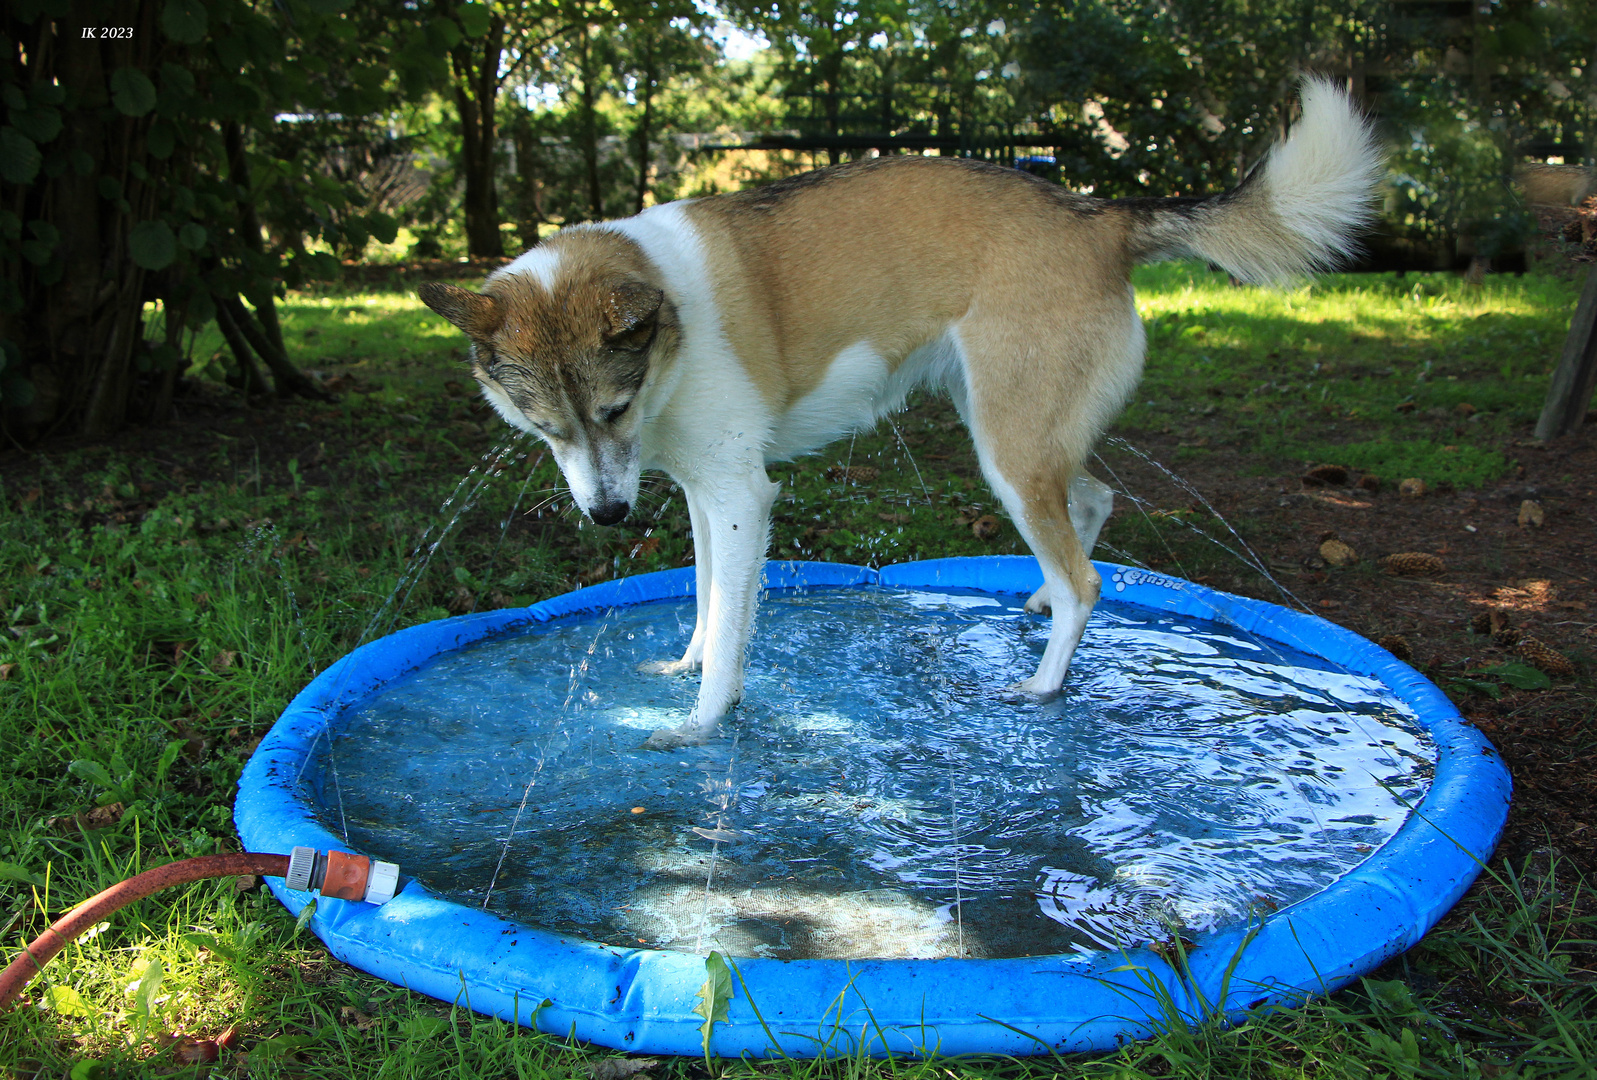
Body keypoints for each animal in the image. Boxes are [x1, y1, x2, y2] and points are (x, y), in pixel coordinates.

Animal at [418, 77, 1379, 750]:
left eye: (612, 408)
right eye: (544, 428)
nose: (608, 516)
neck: (670, 328)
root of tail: (1095, 213)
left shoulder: (740, 498)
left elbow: (729, 627)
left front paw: (700, 724)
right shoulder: (701, 491)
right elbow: (705, 599)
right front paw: (685, 665)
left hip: (1006, 443)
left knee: (1087, 581)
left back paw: (1042, 685)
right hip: (1018, 431)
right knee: (1093, 503)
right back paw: (1036, 600)